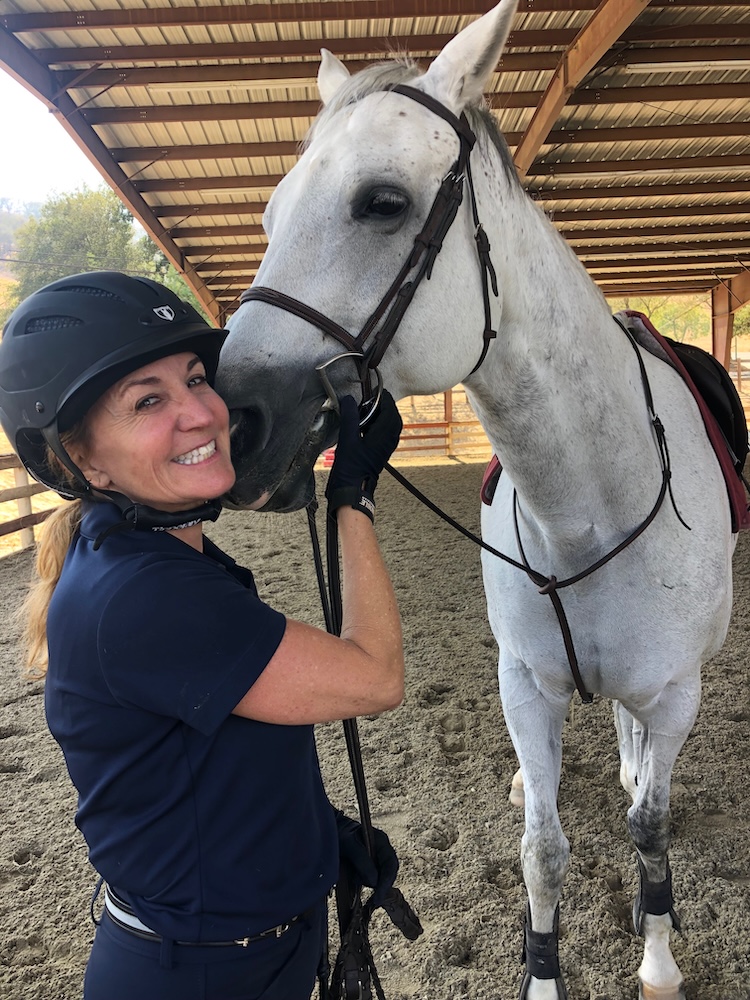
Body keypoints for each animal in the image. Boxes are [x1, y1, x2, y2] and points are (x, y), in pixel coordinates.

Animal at [216, 2, 737, 997]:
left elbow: (648, 825)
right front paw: (542, 973)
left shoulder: (676, 693)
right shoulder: (525, 686)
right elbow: (542, 850)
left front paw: (657, 956)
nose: (236, 422)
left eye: (382, 202)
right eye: (269, 212)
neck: (590, 509)